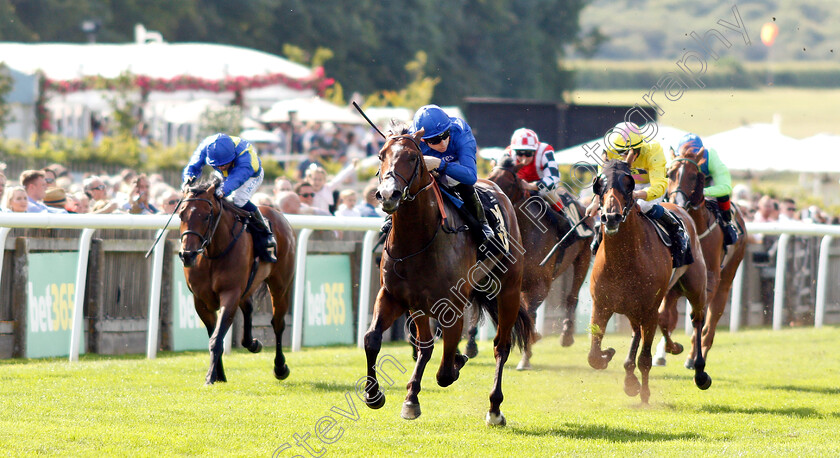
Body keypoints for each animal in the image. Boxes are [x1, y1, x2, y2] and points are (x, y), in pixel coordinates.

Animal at [177, 177, 296, 384]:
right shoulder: (200, 300)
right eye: (181, 214)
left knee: (278, 323)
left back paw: (280, 367)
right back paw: (252, 343)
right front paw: (219, 375)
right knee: (248, 307)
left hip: (280, 285)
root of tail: (276, 212)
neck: (213, 254)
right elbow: (214, 334)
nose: (188, 255)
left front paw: (210, 376)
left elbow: (216, 338)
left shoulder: (230, 293)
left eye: (206, 216)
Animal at [364, 126, 536, 426]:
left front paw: (457, 361)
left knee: (501, 346)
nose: (388, 195)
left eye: (413, 157)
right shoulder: (393, 296)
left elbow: (445, 372)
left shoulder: (453, 307)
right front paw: (374, 395)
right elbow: (372, 338)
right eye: (381, 155)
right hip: (419, 307)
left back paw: (494, 408)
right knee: (424, 346)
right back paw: (412, 397)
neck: (417, 241)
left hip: (509, 291)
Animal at [476, 156, 592, 370]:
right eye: (490, 176)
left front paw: (526, 355)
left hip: (584, 256)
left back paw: (566, 336)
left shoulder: (538, 285)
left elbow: (529, 315)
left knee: (572, 296)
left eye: (509, 182)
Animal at [588, 159, 712, 402]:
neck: (623, 261)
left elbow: (645, 359)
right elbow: (594, 356)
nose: (611, 217)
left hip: (694, 286)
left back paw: (699, 371)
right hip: (634, 308)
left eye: (629, 184)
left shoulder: (649, 309)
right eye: (599, 185)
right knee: (638, 331)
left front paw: (644, 395)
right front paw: (610, 355)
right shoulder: (601, 306)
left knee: (697, 319)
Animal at [664, 149, 748, 368]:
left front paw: (691, 355)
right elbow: (665, 316)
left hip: (726, 279)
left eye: (694, 176)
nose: (677, 203)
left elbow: (698, 318)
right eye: (669, 174)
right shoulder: (673, 282)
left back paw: (695, 355)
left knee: (711, 320)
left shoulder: (709, 281)